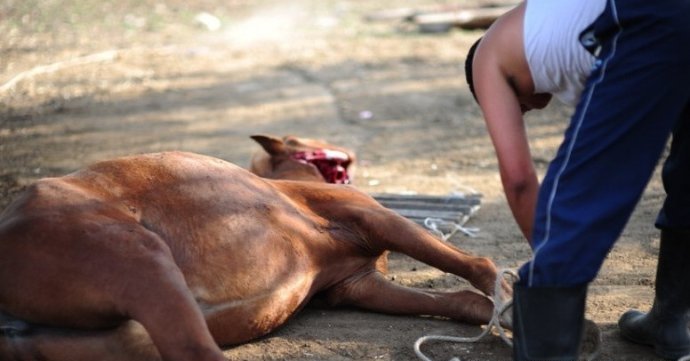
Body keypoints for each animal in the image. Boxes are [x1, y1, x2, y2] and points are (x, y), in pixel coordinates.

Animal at [1, 135, 510, 360]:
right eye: (306, 143)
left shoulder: (357, 284)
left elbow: (463, 301)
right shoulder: (374, 220)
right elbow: (478, 266)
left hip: (114, 336)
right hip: (141, 258)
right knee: (194, 350)